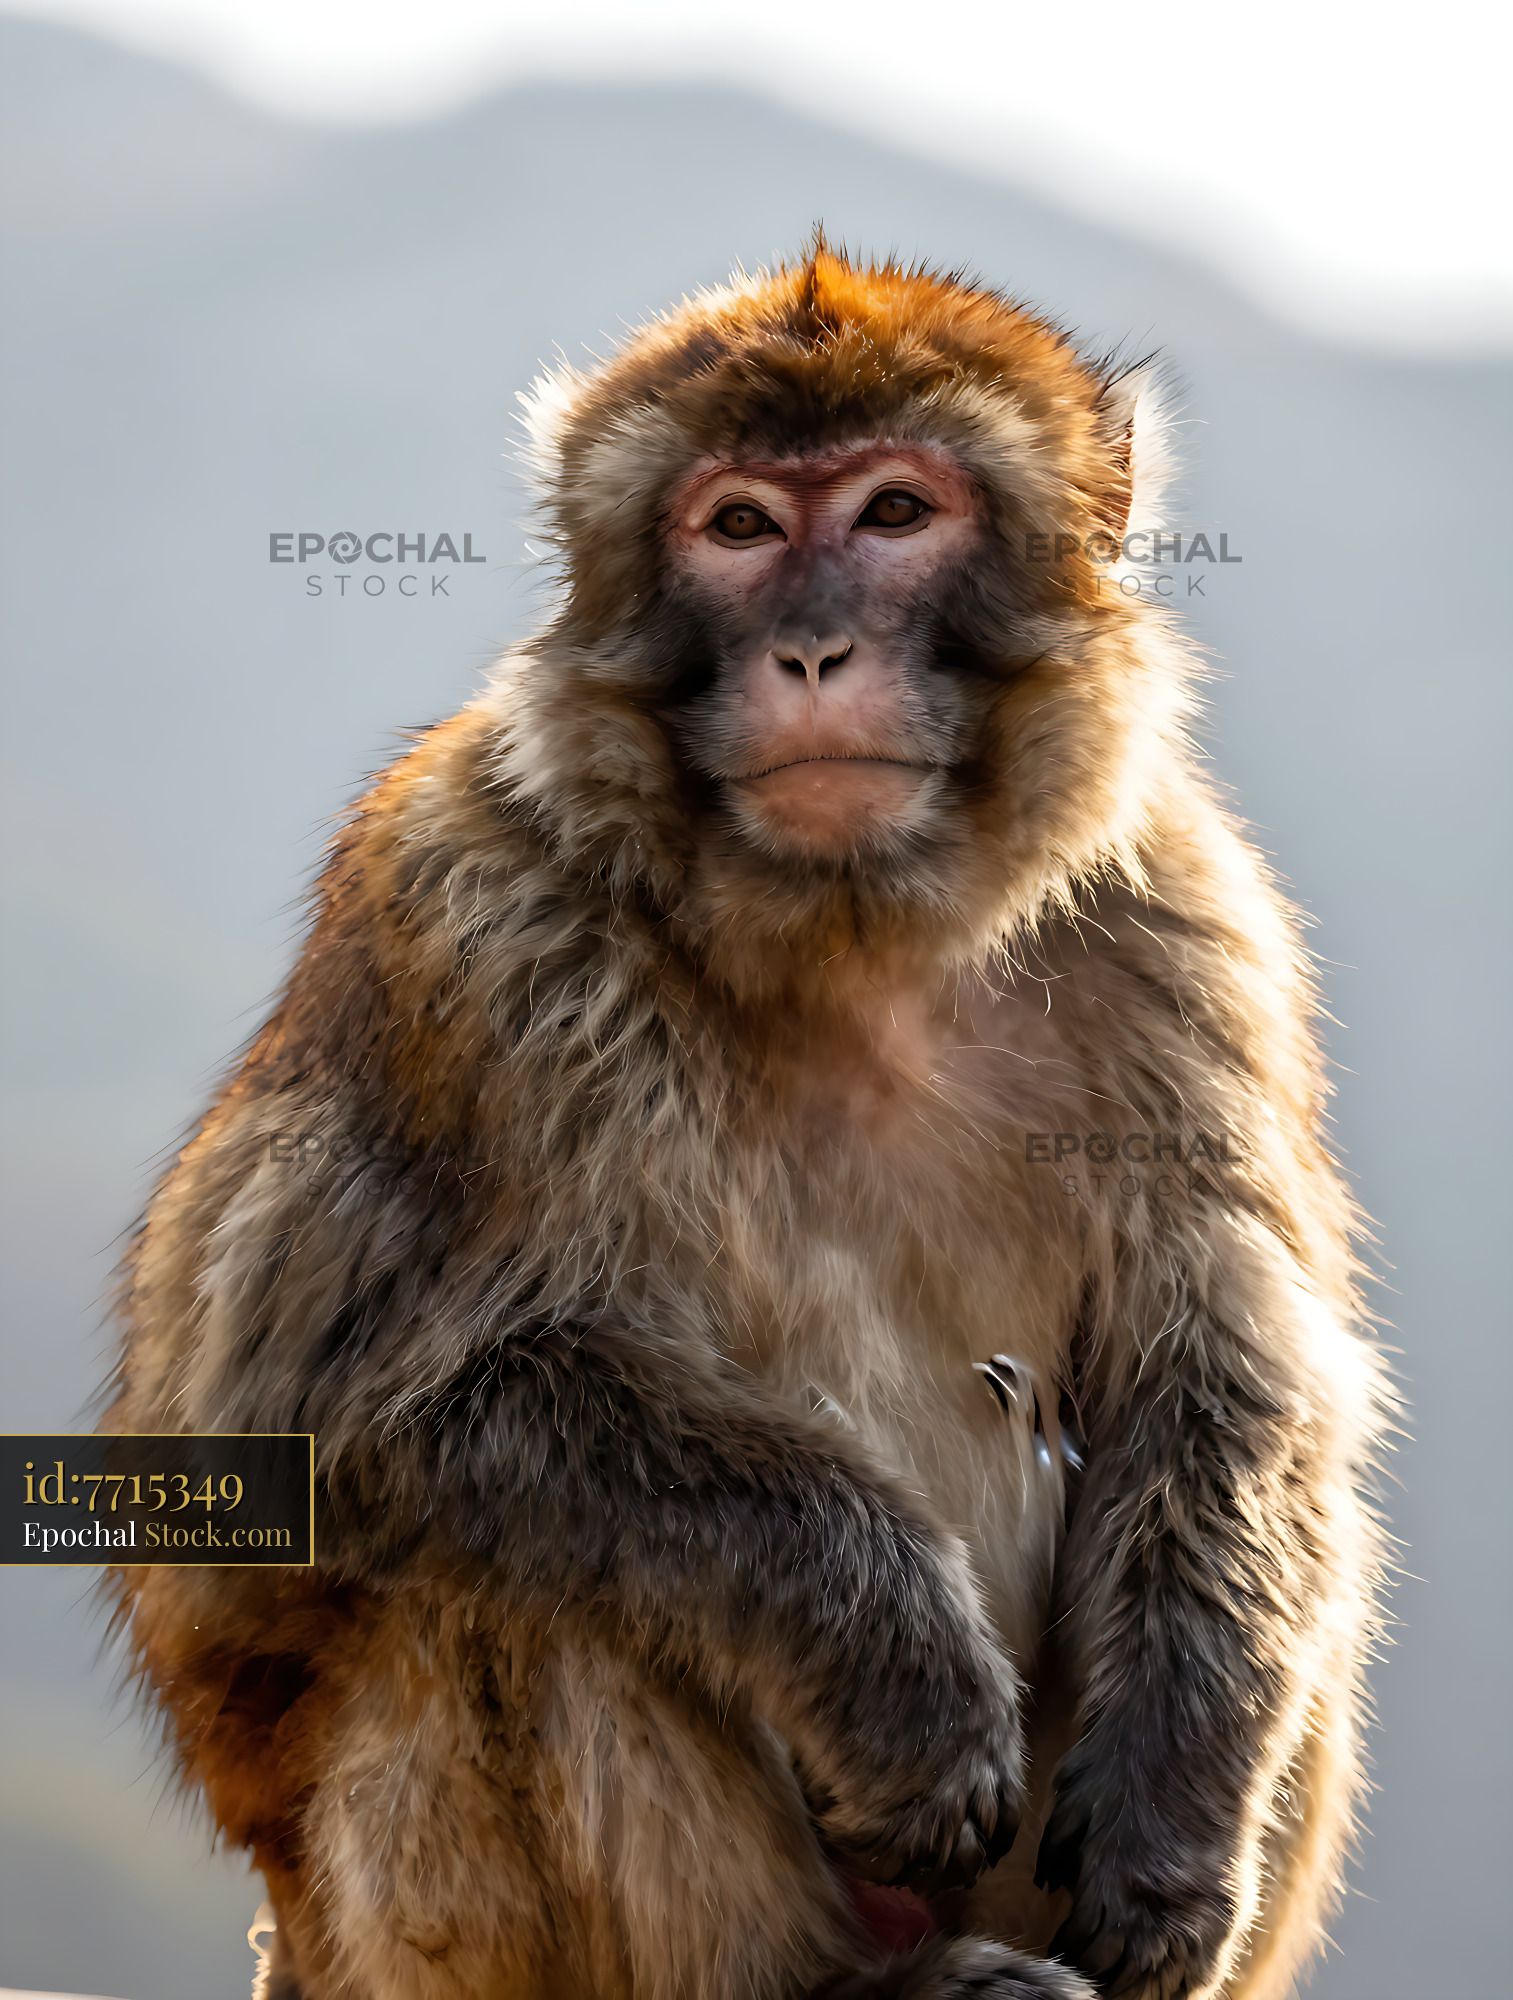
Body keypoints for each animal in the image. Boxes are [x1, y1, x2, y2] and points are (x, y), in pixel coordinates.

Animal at [104, 246, 1388, 2000]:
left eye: (895, 511)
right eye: (738, 528)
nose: (815, 651)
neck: (852, 937)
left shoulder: (1184, 923)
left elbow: (1232, 1368)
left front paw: (1170, 1827)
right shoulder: (472, 919)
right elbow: (316, 1420)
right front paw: (900, 1665)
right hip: (421, 1939)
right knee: (511, 1566)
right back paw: (851, 1985)